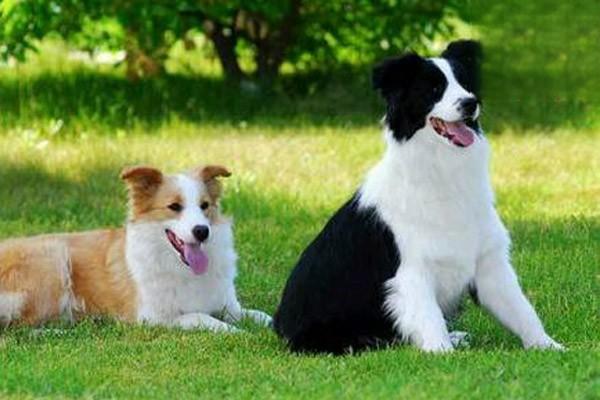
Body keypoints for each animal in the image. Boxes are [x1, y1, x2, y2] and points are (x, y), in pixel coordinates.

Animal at [0, 164, 270, 330]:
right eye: (174, 207)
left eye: (205, 206)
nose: (202, 231)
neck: (178, 265)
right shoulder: (154, 317)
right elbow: (202, 317)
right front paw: (238, 332)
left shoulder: (230, 306)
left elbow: (261, 315)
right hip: (53, 260)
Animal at [274, 39, 564, 354]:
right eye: (434, 89)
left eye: (464, 83)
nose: (470, 103)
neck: (443, 174)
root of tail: (279, 326)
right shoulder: (411, 271)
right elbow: (430, 319)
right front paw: (443, 354)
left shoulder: (490, 264)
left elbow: (522, 311)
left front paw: (549, 346)